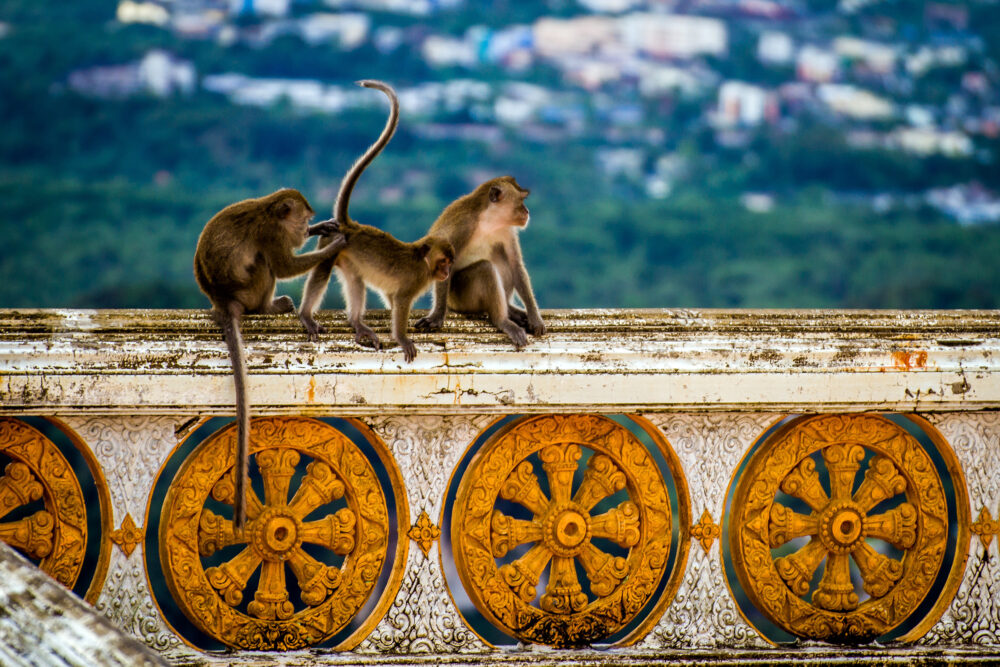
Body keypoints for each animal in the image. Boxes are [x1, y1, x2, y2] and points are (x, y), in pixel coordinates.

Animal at [193, 189, 346, 532]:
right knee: (264, 263)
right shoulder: (272, 234)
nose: (303, 230)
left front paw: (324, 229)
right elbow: (285, 266)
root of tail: (222, 300)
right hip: (248, 289)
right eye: (300, 219)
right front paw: (333, 246)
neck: (268, 210)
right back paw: (269, 307)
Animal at [296, 80, 454, 362]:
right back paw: (306, 316)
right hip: (333, 240)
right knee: (323, 269)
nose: (447, 272)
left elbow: (390, 297)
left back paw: (357, 323)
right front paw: (402, 338)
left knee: (356, 280)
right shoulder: (414, 279)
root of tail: (352, 225)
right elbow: (400, 302)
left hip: (347, 255)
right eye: (444, 261)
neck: (423, 260)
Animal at [412, 177, 548, 350]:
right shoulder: (462, 226)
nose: (527, 211)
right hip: (459, 299)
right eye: (521, 200)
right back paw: (502, 320)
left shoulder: (507, 231)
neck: (488, 221)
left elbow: (515, 265)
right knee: (486, 268)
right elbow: (442, 262)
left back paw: (509, 310)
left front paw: (535, 318)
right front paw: (436, 317)